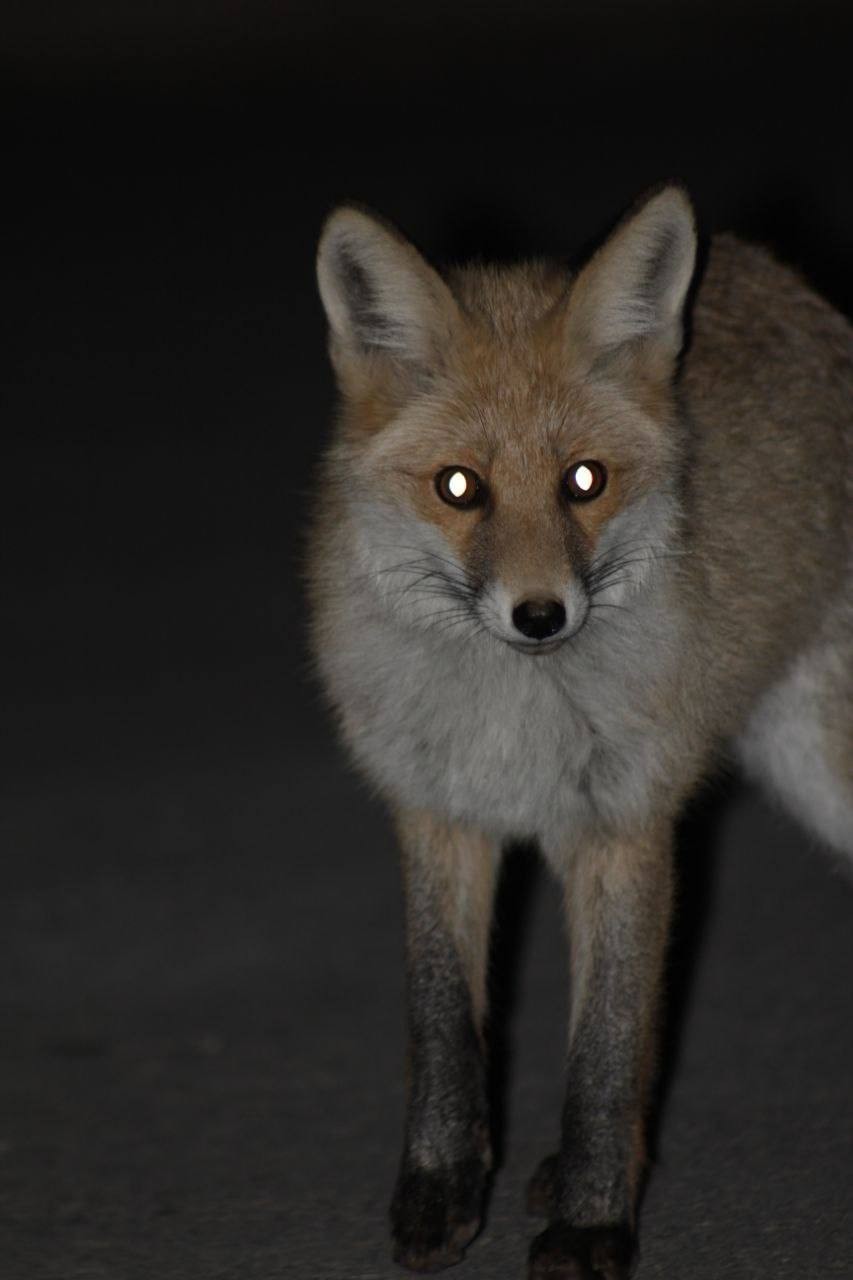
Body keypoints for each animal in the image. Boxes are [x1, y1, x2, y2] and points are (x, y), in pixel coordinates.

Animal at [307, 183, 850, 1280]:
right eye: (459, 487)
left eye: (585, 481)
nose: (540, 615)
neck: (510, 724)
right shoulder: (436, 811)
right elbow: (442, 1020)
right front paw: (442, 1188)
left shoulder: (625, 826)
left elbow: (603, 1049)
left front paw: (591, 1225)